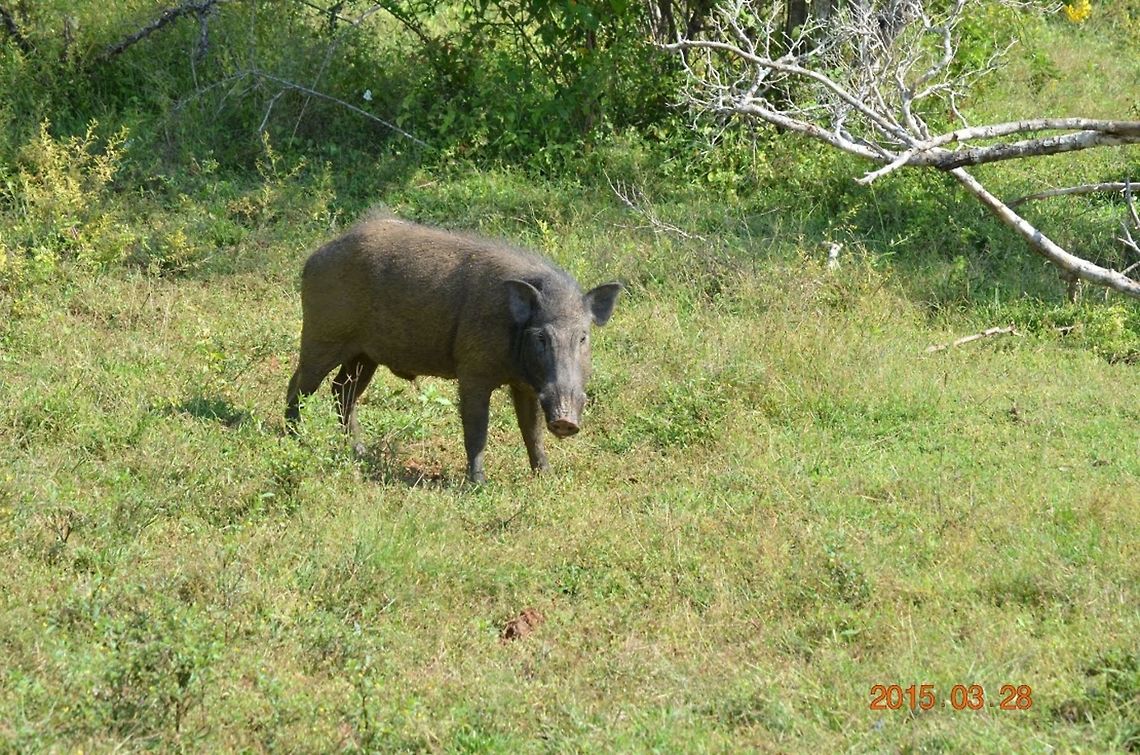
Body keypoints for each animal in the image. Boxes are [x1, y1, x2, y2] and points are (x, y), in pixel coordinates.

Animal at [285, 214, 622, 483]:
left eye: (583, 337)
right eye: (541, 336)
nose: (566, 420)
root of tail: (313, 257)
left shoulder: (525, 386)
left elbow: (532, 431)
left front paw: (547, 478)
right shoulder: (472, 373)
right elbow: (477, 429)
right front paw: (479, 485)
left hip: (364, 355)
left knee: (342, 390)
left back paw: (359, 452)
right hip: (321, 337)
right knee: (299, 385)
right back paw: (295, 441)